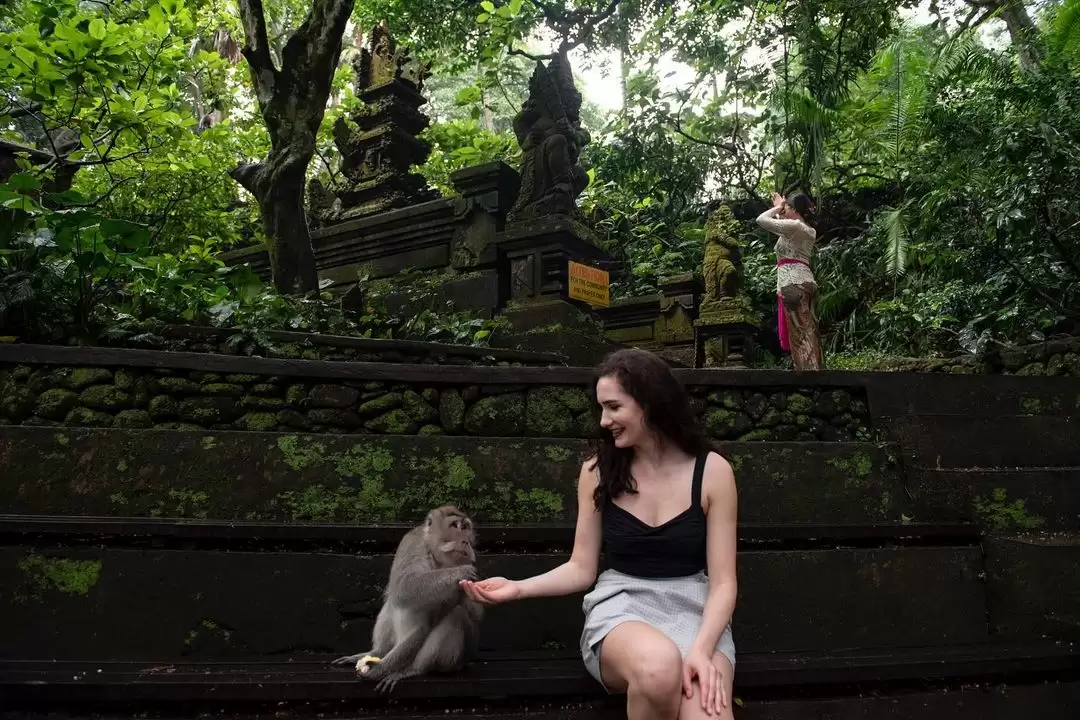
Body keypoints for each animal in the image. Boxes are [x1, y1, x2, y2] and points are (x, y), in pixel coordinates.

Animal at [331, 506, 483, 694]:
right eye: (455, 526)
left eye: (466, 528)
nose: (465, 541)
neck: (436, 555)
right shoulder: (413, 543)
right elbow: (406, 586)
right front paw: (459, 572)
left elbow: (470, 614)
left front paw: (378, 671)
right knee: (395, 601)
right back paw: (378, 652)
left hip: (457, 660)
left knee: (454, 615)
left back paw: (414, 669)